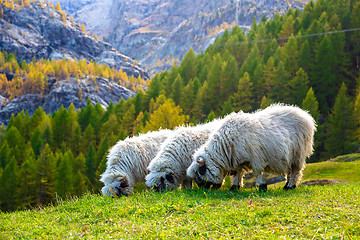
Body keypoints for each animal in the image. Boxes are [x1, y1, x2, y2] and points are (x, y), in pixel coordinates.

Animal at [187, 104, 316, 190]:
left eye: (200, 172)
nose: (203, 190)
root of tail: (305, 114)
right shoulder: (237, 159)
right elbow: (237, 173)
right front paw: (235, 187)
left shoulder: (255, 157)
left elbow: (257, 172)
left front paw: (262, 187)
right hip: (290, 156)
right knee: (290, 171)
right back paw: (286, 185)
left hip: (298, 154)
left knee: (295, 171)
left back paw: (291, 186)